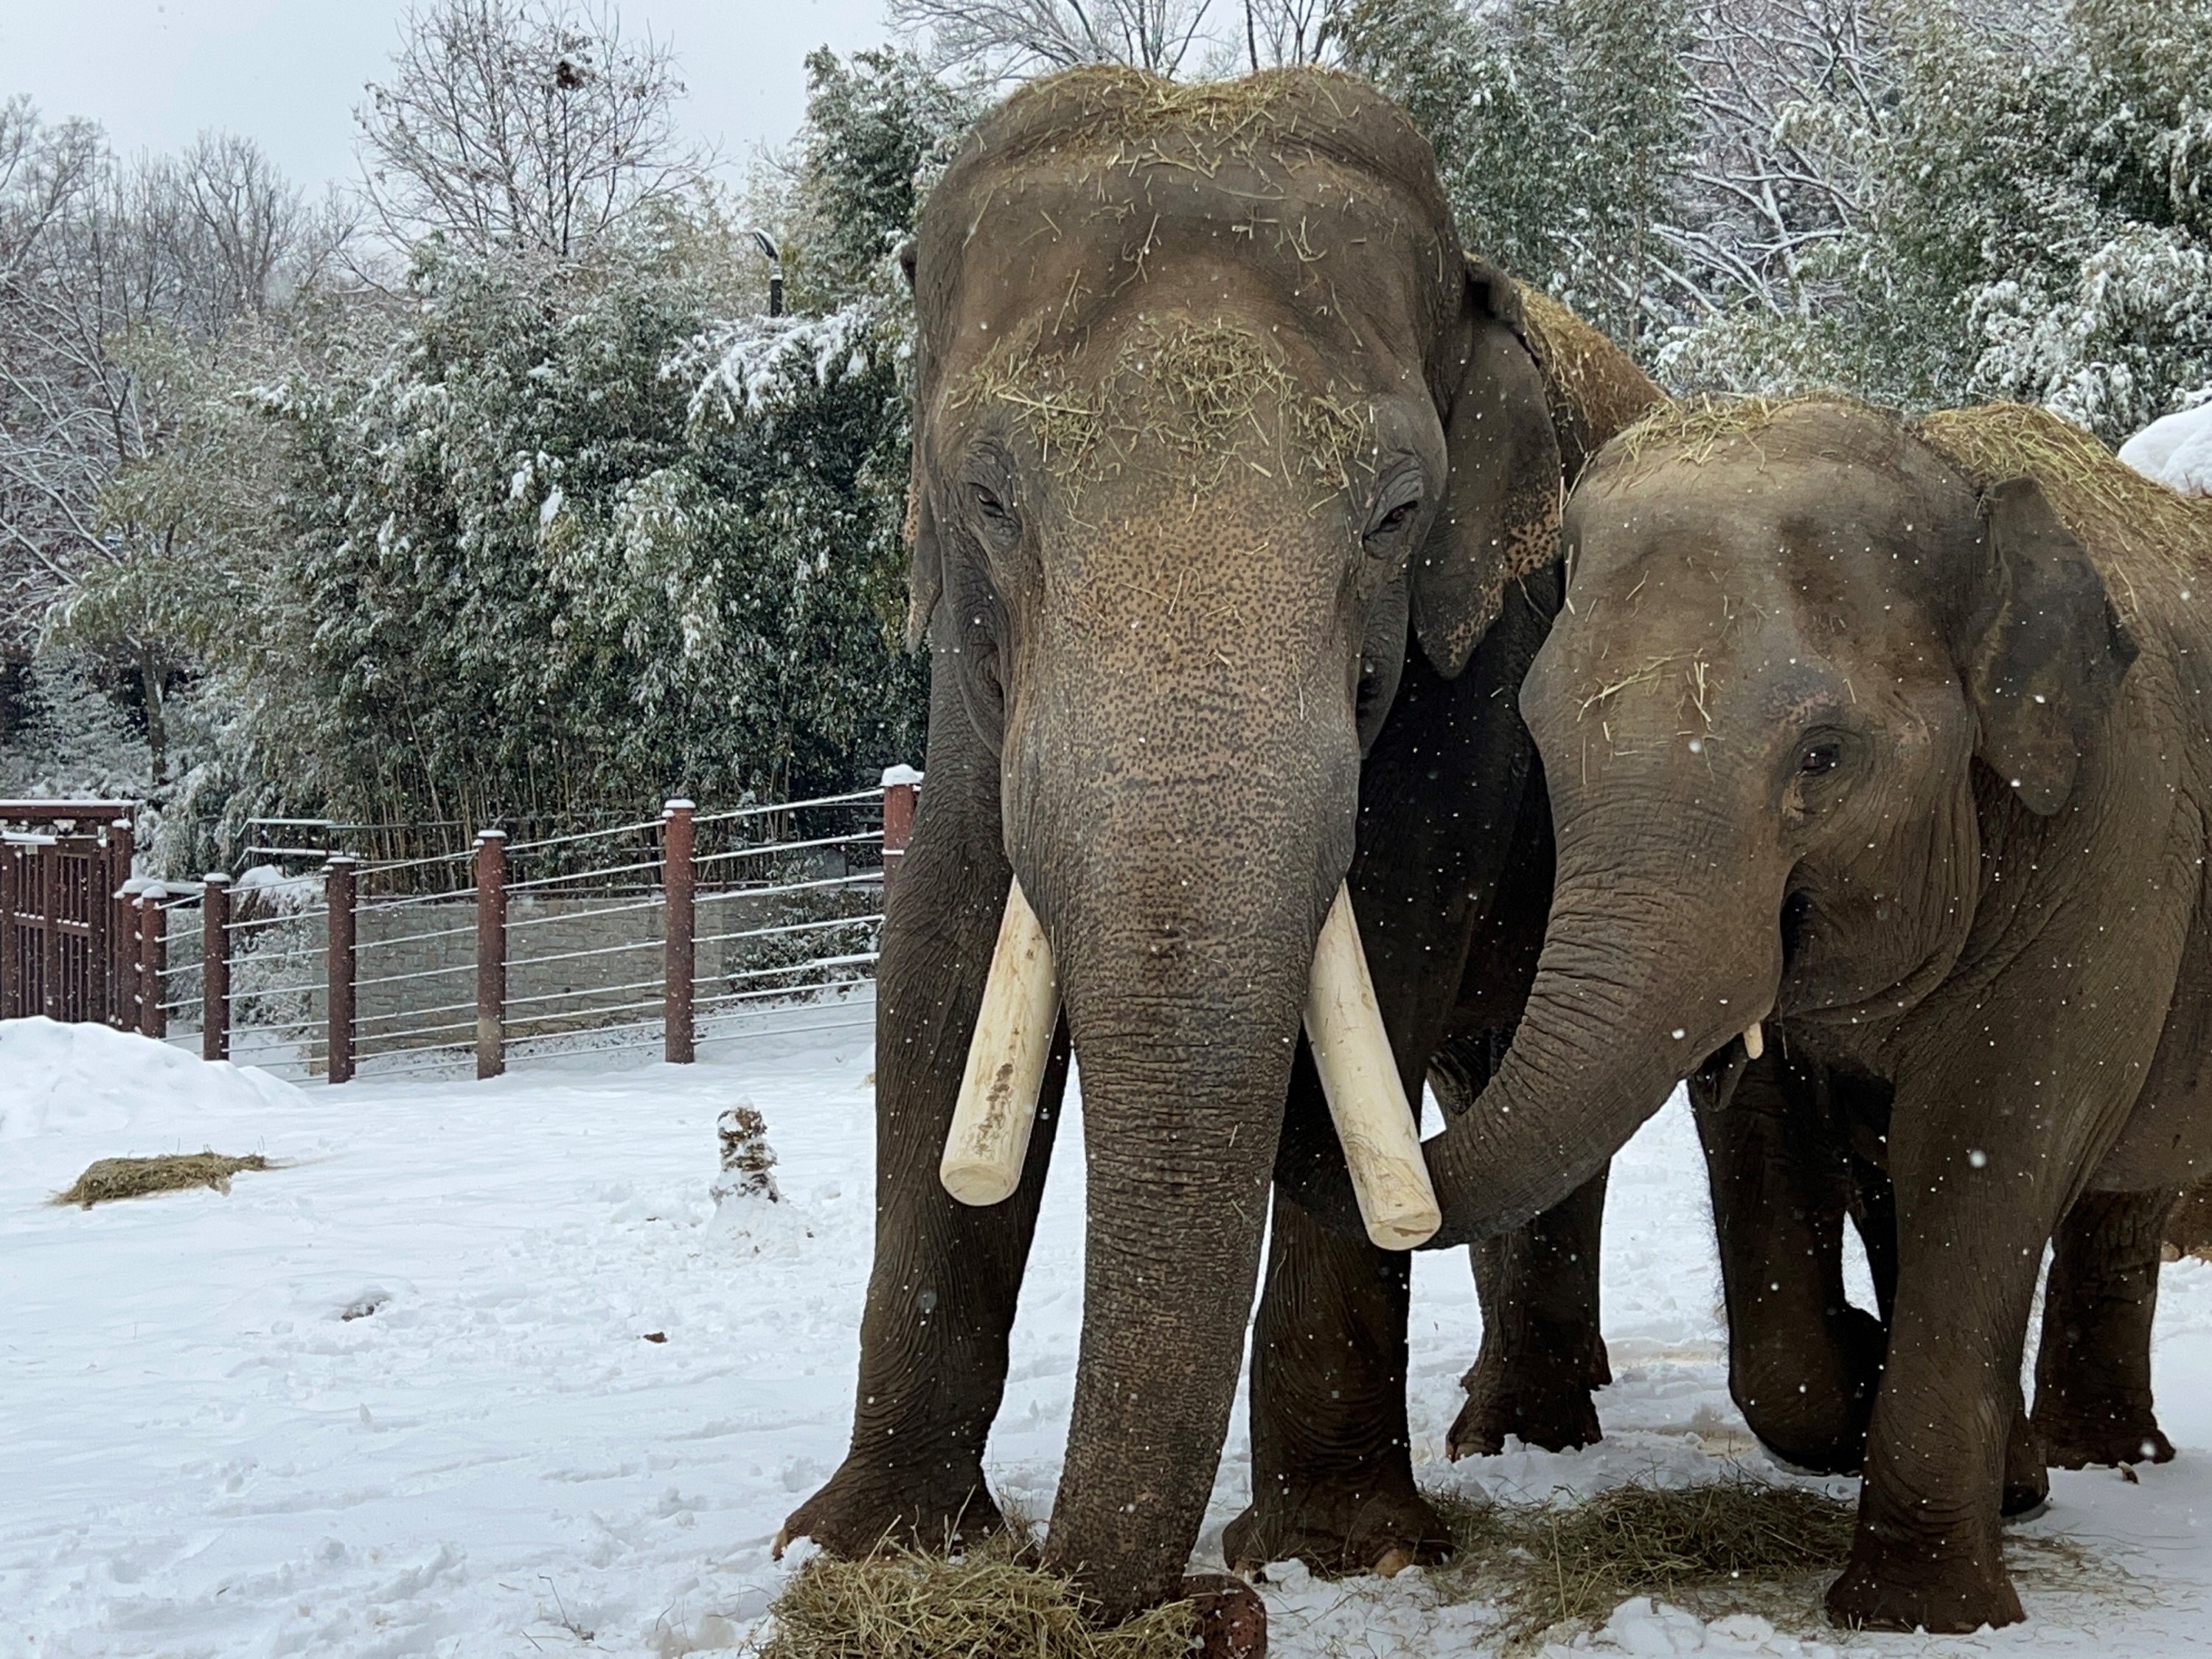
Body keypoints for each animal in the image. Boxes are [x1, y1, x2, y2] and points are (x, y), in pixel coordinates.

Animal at [779, 65, 1663, 1628]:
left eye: (1398, 513)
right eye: (990, 499)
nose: (1182, 1603)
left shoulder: (1475, 668)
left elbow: (1386, 944)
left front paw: (1345, 1551)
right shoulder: (969, 687)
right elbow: (938, 961)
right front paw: (867, 1546)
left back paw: (1526, 1435)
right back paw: (1511, 1424)